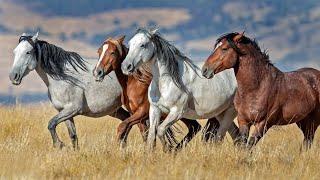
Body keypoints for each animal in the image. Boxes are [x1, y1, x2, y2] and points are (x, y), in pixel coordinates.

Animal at [92, 36, 220, 149]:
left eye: (113, 52)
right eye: (99, 52)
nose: (98, 72)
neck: (135, 84)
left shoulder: (142, 112)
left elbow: (123, 126)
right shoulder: (138, 116)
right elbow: (146, 136)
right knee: (195, 127)